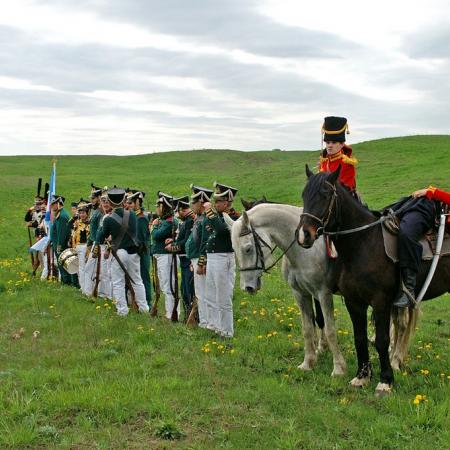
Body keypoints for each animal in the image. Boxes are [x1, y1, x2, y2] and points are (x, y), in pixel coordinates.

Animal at [227, 204, 346, 376]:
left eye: (248, 249)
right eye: (234, 250)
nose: (247, 287)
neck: (303, 249)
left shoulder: (323, 293)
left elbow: (330, 329)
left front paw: (338, 368)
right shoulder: (300, 294)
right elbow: (307, 328)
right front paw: (308, 362)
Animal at [298, 165, 448, 394]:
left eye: (325, 194)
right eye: (304, 195)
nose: (304, 235)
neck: (364, 244)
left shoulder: (381, 302)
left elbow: (381, 339)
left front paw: (385, 380)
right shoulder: (354, 302)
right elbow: (359, 338)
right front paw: (362, 376)